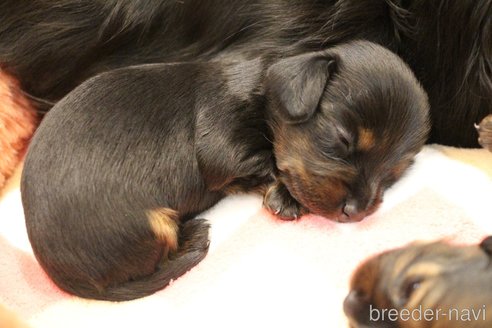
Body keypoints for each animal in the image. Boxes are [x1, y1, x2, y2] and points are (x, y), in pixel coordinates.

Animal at [22, 39, 430, 302]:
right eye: (342, 140)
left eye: (393, 172)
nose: (356, 212)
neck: (266, 84)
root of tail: (64, 276)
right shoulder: (222, 145)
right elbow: (266, 162)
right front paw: (285, 197)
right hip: (150, 223)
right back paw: (192, 236)